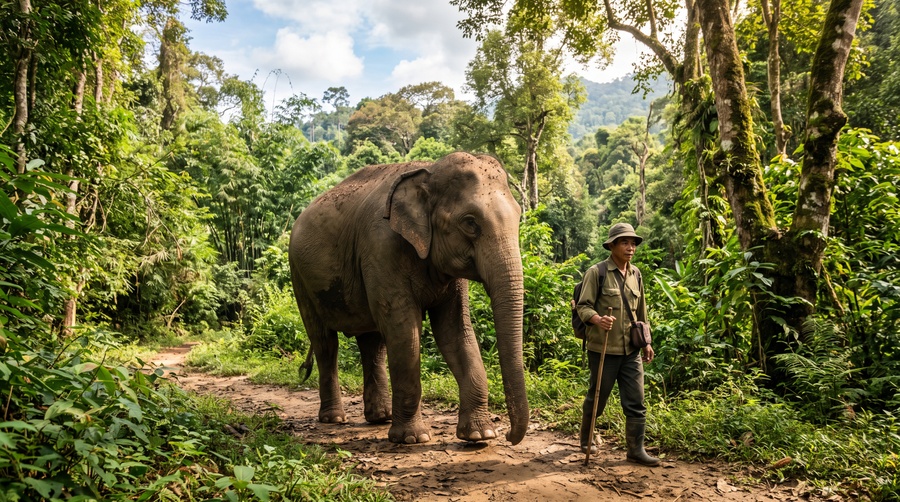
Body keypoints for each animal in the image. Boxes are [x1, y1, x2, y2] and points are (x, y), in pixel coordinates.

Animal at [288, 152, 529, 445]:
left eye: (518, 217)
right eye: (470, 223)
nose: (509, 435)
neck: (429, 171)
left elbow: (454, 331)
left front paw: (478, 435)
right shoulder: (381, 247)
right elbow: (404, 331)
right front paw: (413, 438)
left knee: (372, 343)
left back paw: (381, 417)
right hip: (299, 277)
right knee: (325, 342)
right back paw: (335, 419)